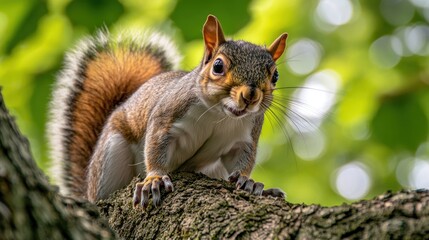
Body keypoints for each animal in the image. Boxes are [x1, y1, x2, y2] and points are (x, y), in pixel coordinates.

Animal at [47, 14, 288, 208]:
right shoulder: (167, 117)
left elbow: (241, 161)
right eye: (218, 66)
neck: (219, 115)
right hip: (111, 155)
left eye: (275, 76)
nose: (250, 96)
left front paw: (249, 182)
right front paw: (154, 179)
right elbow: (155, 147)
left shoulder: (244, 137)